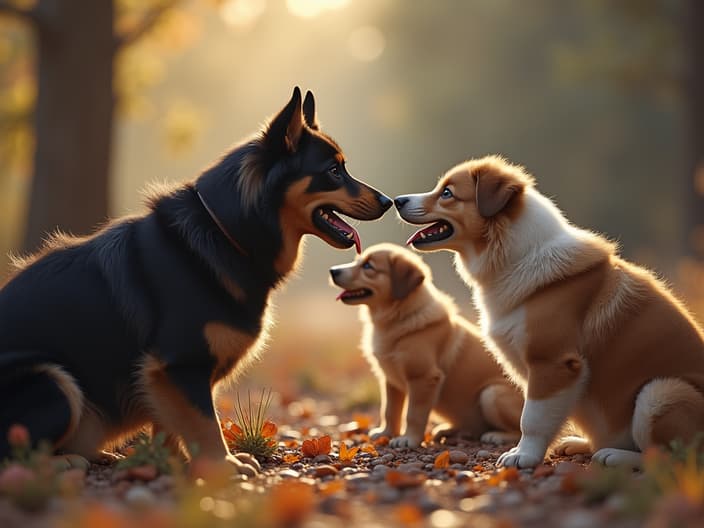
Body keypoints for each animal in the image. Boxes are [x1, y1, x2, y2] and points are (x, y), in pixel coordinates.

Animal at [0, 87, 390, 474]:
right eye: (333, 171)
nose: (388, 200)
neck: (225, 232)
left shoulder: (165, 378)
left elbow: (173, 428)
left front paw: (174, 467)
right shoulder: (180, 364)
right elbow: (206, 422)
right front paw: (224, 467)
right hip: (54, 381)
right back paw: (62, 461)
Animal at [330, 242, 524, 446]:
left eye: (368, 266)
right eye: (358, 261)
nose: (333, 271)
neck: (398, 317)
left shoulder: (423, 378)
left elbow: (413, 414)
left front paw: (409, 439)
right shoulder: (390, 381)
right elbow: (389, 411)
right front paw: (386, 433)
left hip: (492, 394)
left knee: (518, 429)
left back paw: (497, 436)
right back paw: (449, 430)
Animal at [394, 155, 704, 468]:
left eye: (447, 193)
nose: (397, 200)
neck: (514, 255)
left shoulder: (551, 362)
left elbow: (531, 419)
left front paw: (524, 456)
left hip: (661, 391)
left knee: (670, 457)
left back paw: (615, 455)